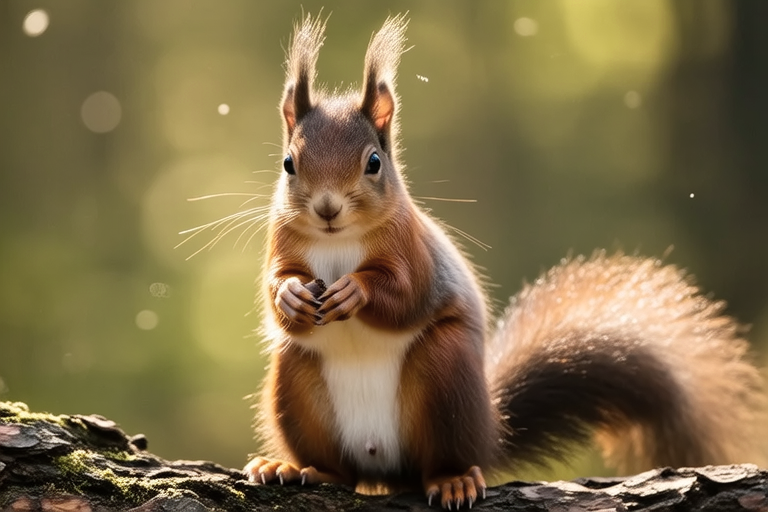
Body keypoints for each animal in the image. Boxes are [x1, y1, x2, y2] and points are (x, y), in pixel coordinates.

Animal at [243, 14, 767, 509]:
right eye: (289, 164)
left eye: (374, 162)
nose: (327, 208)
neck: (339, 243)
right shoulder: (281, 243)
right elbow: (275, 291)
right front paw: (290, 294)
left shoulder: (413, 252)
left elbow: (405, 295)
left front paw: (357, 289)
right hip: (295, 382)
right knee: (339, 469)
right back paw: (296, 468)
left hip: (445, 376)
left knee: (439, 461)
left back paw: (452, 480)